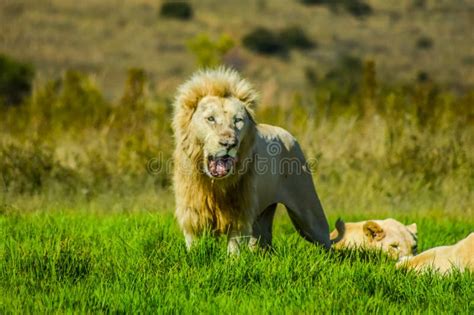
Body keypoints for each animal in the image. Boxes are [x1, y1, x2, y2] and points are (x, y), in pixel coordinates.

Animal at [172, 67, 332, 254]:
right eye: (211, 119)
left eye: (238, 120)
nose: (229, 143)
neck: (214, 185)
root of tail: (288, 135)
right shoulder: (192, 213)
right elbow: (194, 247)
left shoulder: (239, 213)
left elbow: (234, 250)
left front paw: (232, 261)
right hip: (262, 217)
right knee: (263, 241)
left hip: (307, 211)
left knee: (326, 240)